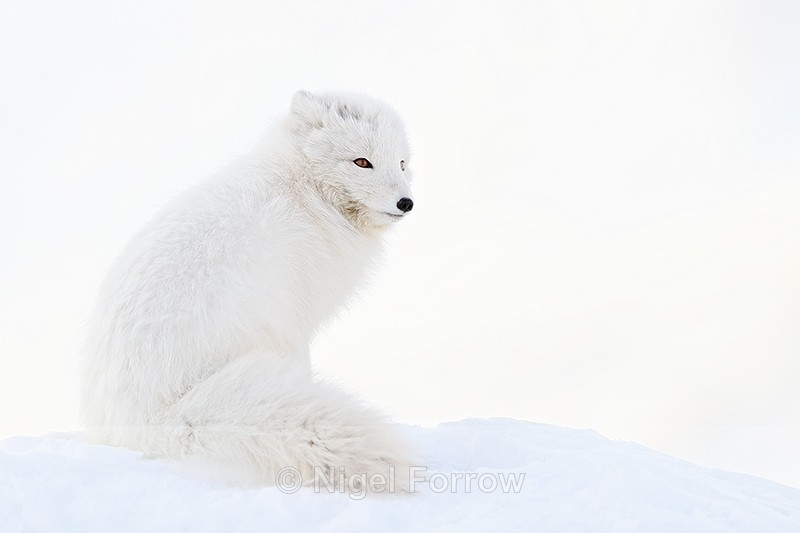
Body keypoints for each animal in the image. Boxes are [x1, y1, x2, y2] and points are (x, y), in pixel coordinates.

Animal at [80, 90, 416, 492]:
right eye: (362, 162)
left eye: (401, 164)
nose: (406, 203)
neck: (303, 190)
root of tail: (148, 420)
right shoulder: (295, 318)